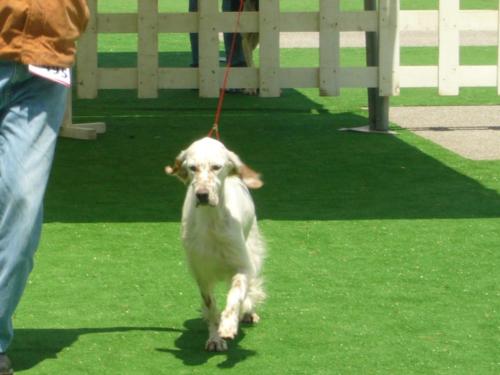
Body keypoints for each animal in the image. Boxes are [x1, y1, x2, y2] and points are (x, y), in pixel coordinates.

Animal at [165, 138, 268, 352]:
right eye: (192, 167)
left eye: (216, 167)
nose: (202, 195)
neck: (211, 221)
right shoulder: (202, 274)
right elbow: (211, 306)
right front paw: (215, 338)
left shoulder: (242, 266)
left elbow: (235, 296)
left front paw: (228, 325)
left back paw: (247, 313)